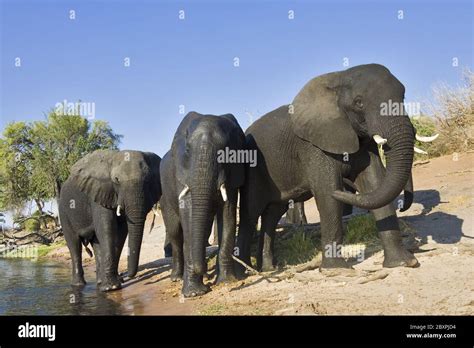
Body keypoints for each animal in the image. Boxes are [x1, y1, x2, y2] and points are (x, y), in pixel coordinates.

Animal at [58, 150, 162, 290]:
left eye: (148, 180)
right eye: (116, 180)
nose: (126, 276)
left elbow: (121, 232)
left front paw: (113, 284)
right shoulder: (99, 193)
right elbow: (107, 229)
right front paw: (111, 288)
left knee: (96, 243)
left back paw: (99, 282)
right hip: (64, 213)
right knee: (74, 244)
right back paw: (79, 285)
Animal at [161, 111, 246, 296]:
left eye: (227, 152)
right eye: (187, 150)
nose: (206, 272)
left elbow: (227, 215)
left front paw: (227, 281)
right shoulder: (183, 173)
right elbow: (189, 214)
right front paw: (194, 293)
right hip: (164, 197)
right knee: (175, 234)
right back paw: (176, 278)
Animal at [236, 64, 418, 272]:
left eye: (403, 95)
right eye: (359, 103)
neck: (338, 78)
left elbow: (375, 183)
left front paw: (403, 263)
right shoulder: (313, 145)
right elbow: (327, 192)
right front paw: (337, 270)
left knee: (272, 214)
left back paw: (268, 269)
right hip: (253, 170)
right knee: (250, 214)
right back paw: (243, 271)